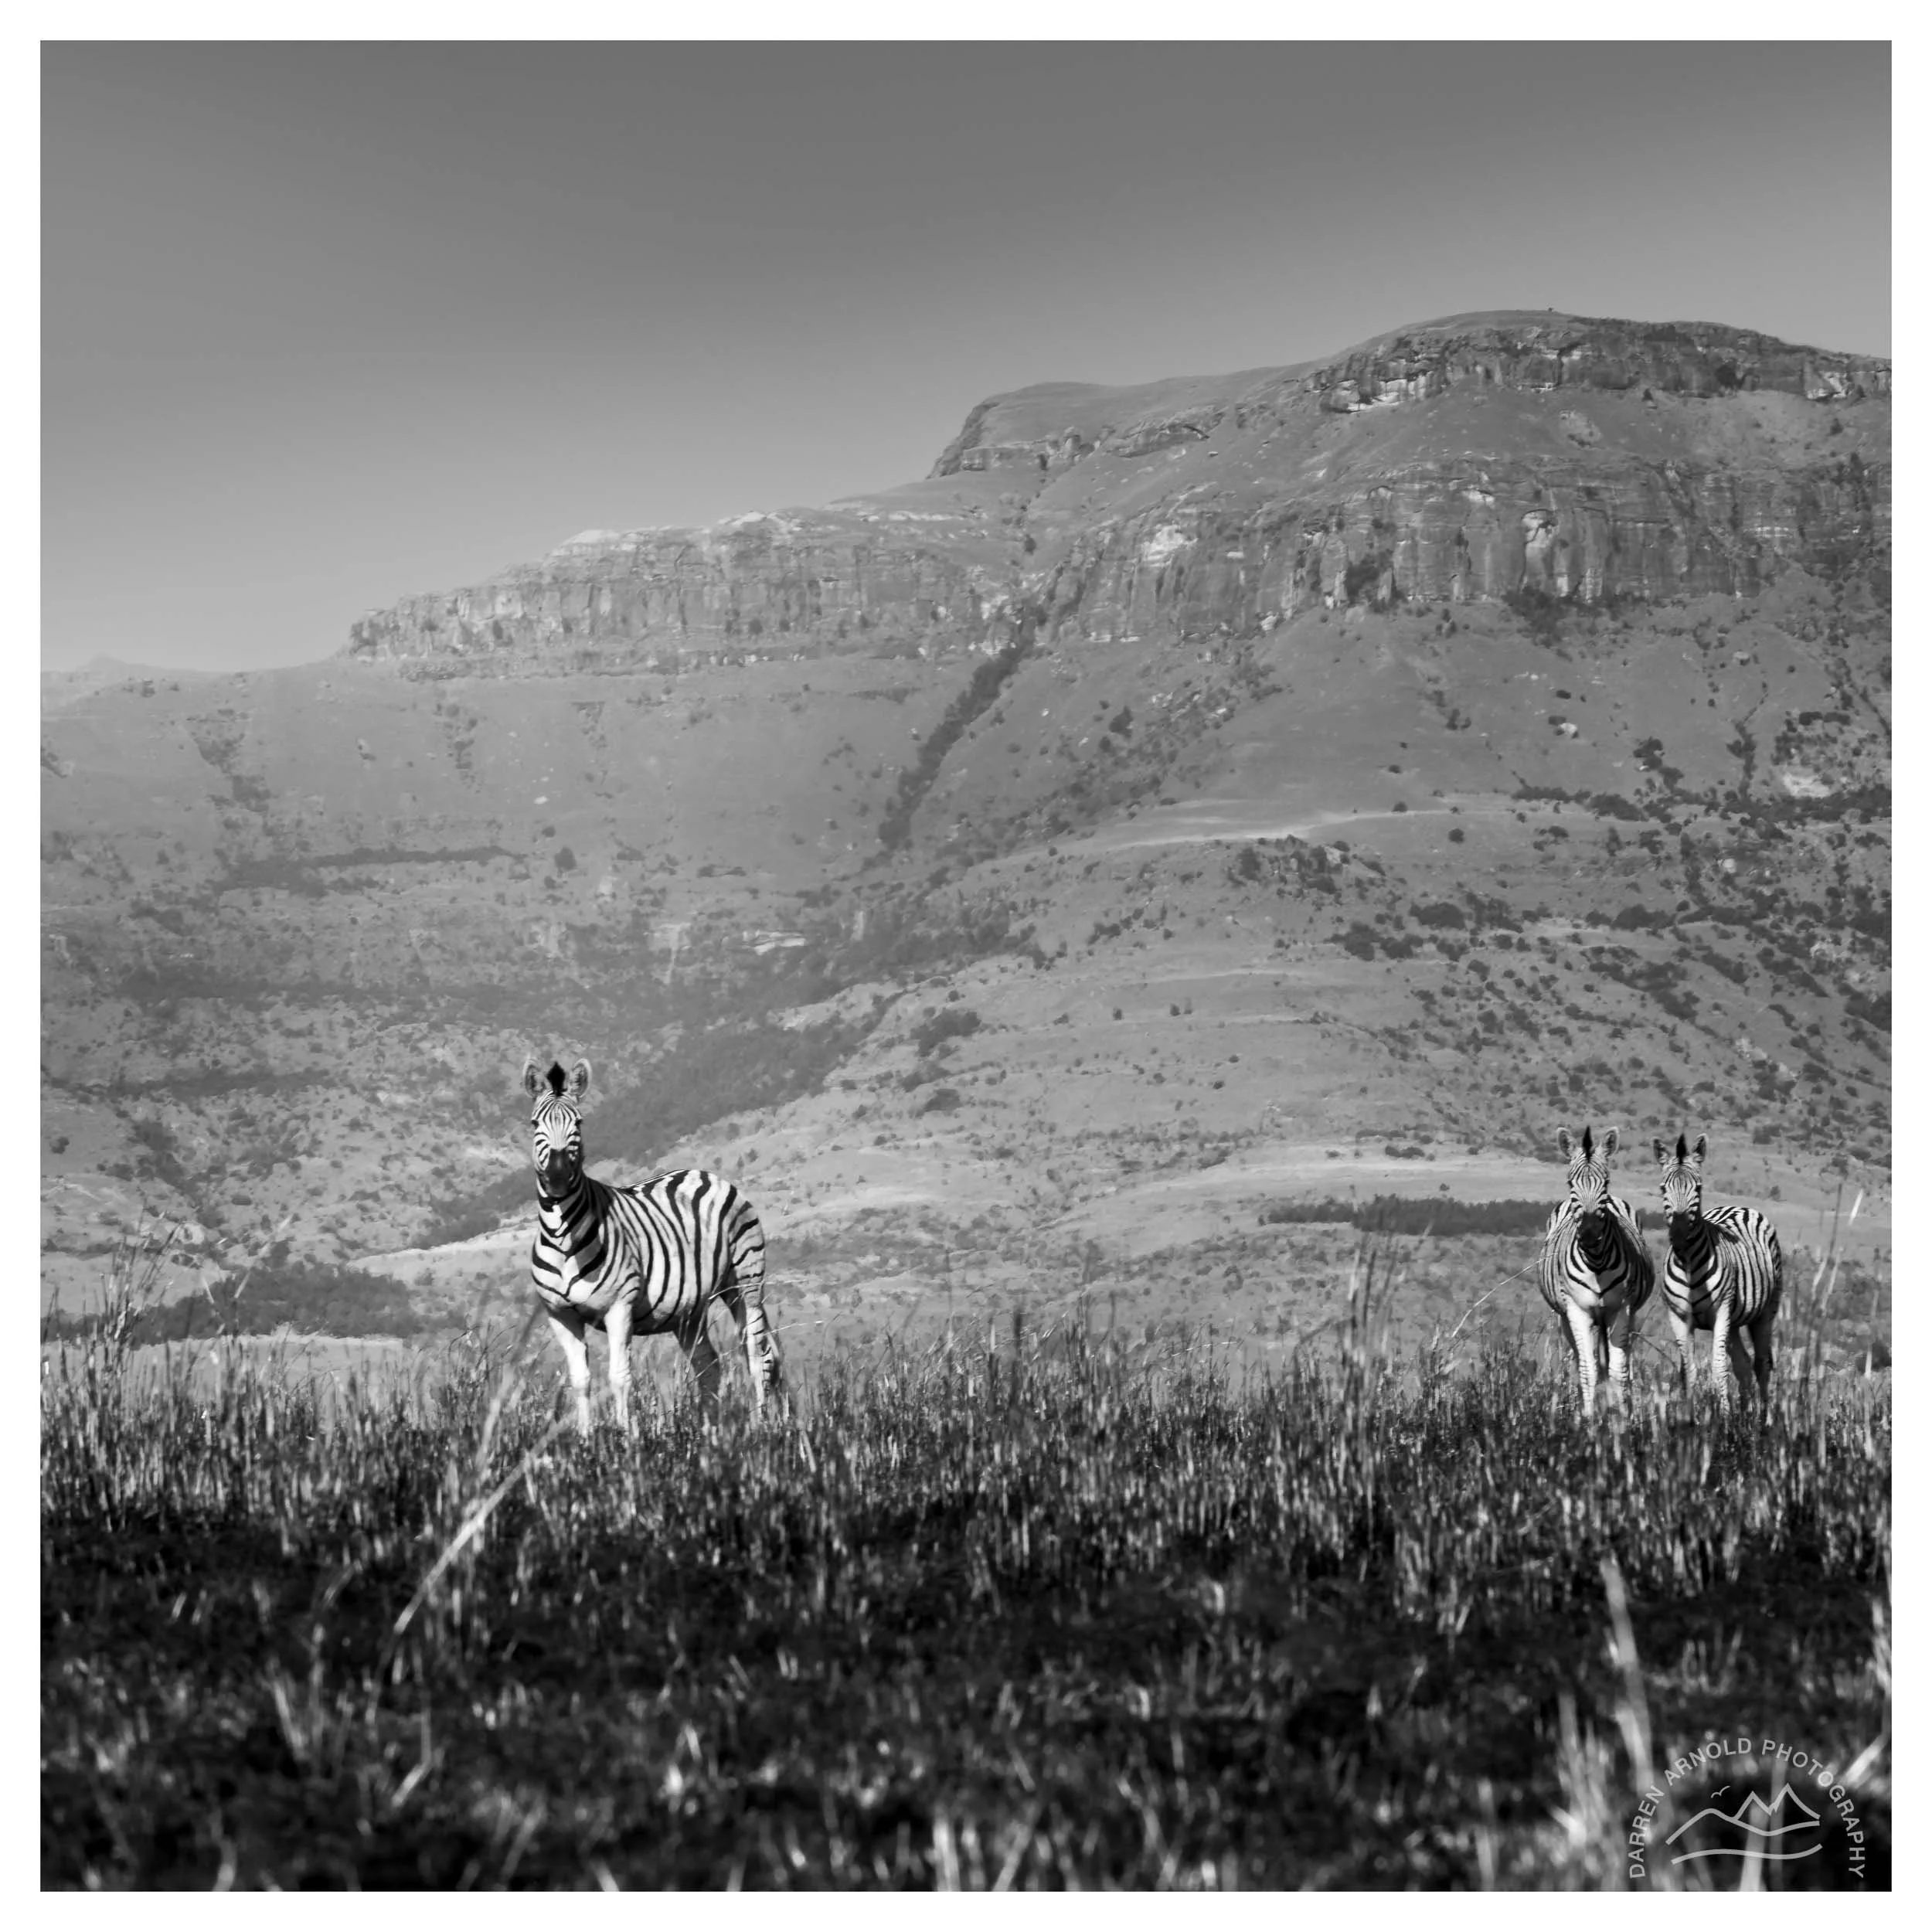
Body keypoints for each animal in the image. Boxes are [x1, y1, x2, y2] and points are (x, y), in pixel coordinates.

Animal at [522, 1058, 783, 1431]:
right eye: (535, 1123)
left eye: (578, 1123)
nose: (557, 1176)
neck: (563, 1237)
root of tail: (707, 1174)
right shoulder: (560, 1315)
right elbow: (581, 1381)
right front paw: (585, 1438)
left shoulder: (619, 1306)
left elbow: (619, 1377)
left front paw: (624, 1437)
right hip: (691, 1309)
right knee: (709, 1366)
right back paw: (710, 1432)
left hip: (744, 1282)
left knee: (757, 1352)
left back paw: (760, 1426)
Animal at [1537, 1126, 1655, 1411]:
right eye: (1570, 1182)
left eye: (1606, 1182)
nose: (1590, 1234)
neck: (1597, 1262)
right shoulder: (1577, 1310)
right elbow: (1588, 1370)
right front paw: (1589, 1419)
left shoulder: (1621, 1309)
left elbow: (1617, 1371)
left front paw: (1621, 1417)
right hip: (1566, 1318)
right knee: (1583, 1360)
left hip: (1625, 1317)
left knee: (1623, 1363)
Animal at [1650, 1132, 1783, 1410]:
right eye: (1663, 1188)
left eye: (1698, 1189)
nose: (1679, 1236)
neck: (1688, 1263)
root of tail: (1740, 1206)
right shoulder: (1678, 1316)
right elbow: (1688, 1372)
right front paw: (1691, 1416)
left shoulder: (1720, 1312)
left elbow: (1719, 1368)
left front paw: (1722, 1416)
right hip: (1734, 1319)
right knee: (1744, 1365)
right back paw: (1744, 1415)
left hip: (1765, 1310)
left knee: (1762, 1364)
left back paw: (1764, 1418)